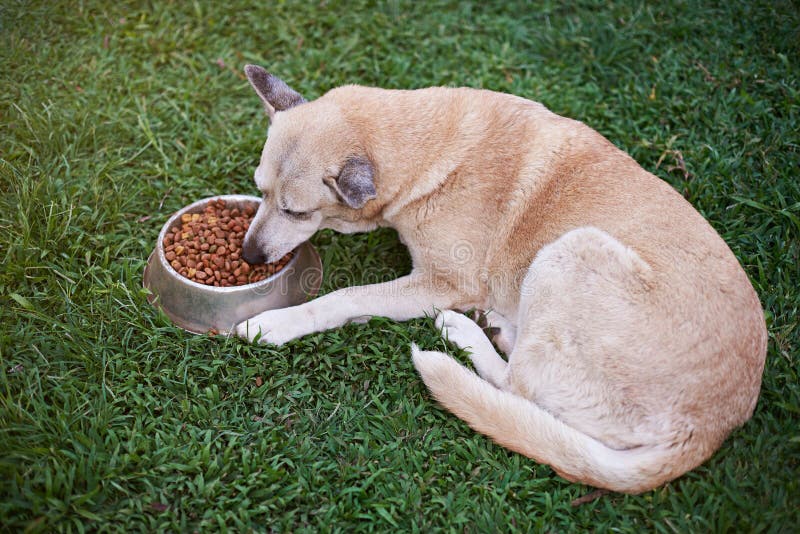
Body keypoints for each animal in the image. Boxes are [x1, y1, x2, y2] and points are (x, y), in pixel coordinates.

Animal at [236, 66, 768, 494]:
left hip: (569, 252)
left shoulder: (443, 283)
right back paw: (499, 326)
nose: (248, 255)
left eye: (295, 211)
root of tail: (710, 428)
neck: (427, 147)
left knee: (516, 388)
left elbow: (341, 297)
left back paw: (464, 332)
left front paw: (273, 324)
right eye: (260, 192)